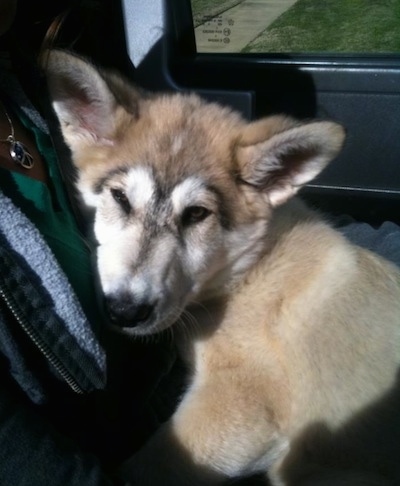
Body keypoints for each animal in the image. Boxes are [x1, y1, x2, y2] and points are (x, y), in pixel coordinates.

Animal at [44, 50, 400, 486]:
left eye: (197, 214)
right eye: (120, 198)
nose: (125, 311)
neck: (244, 271)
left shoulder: (240, 402)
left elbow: (144, 468)